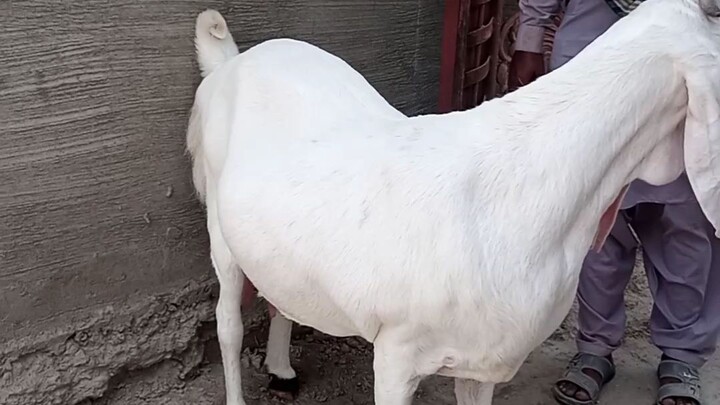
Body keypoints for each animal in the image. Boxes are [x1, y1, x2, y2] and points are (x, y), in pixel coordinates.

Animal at [187, 0, 720, 403]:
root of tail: (230, 62)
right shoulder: (396, 353)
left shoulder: (478, 359)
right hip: (219, 226)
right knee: (229, 324)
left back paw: (281, 371)